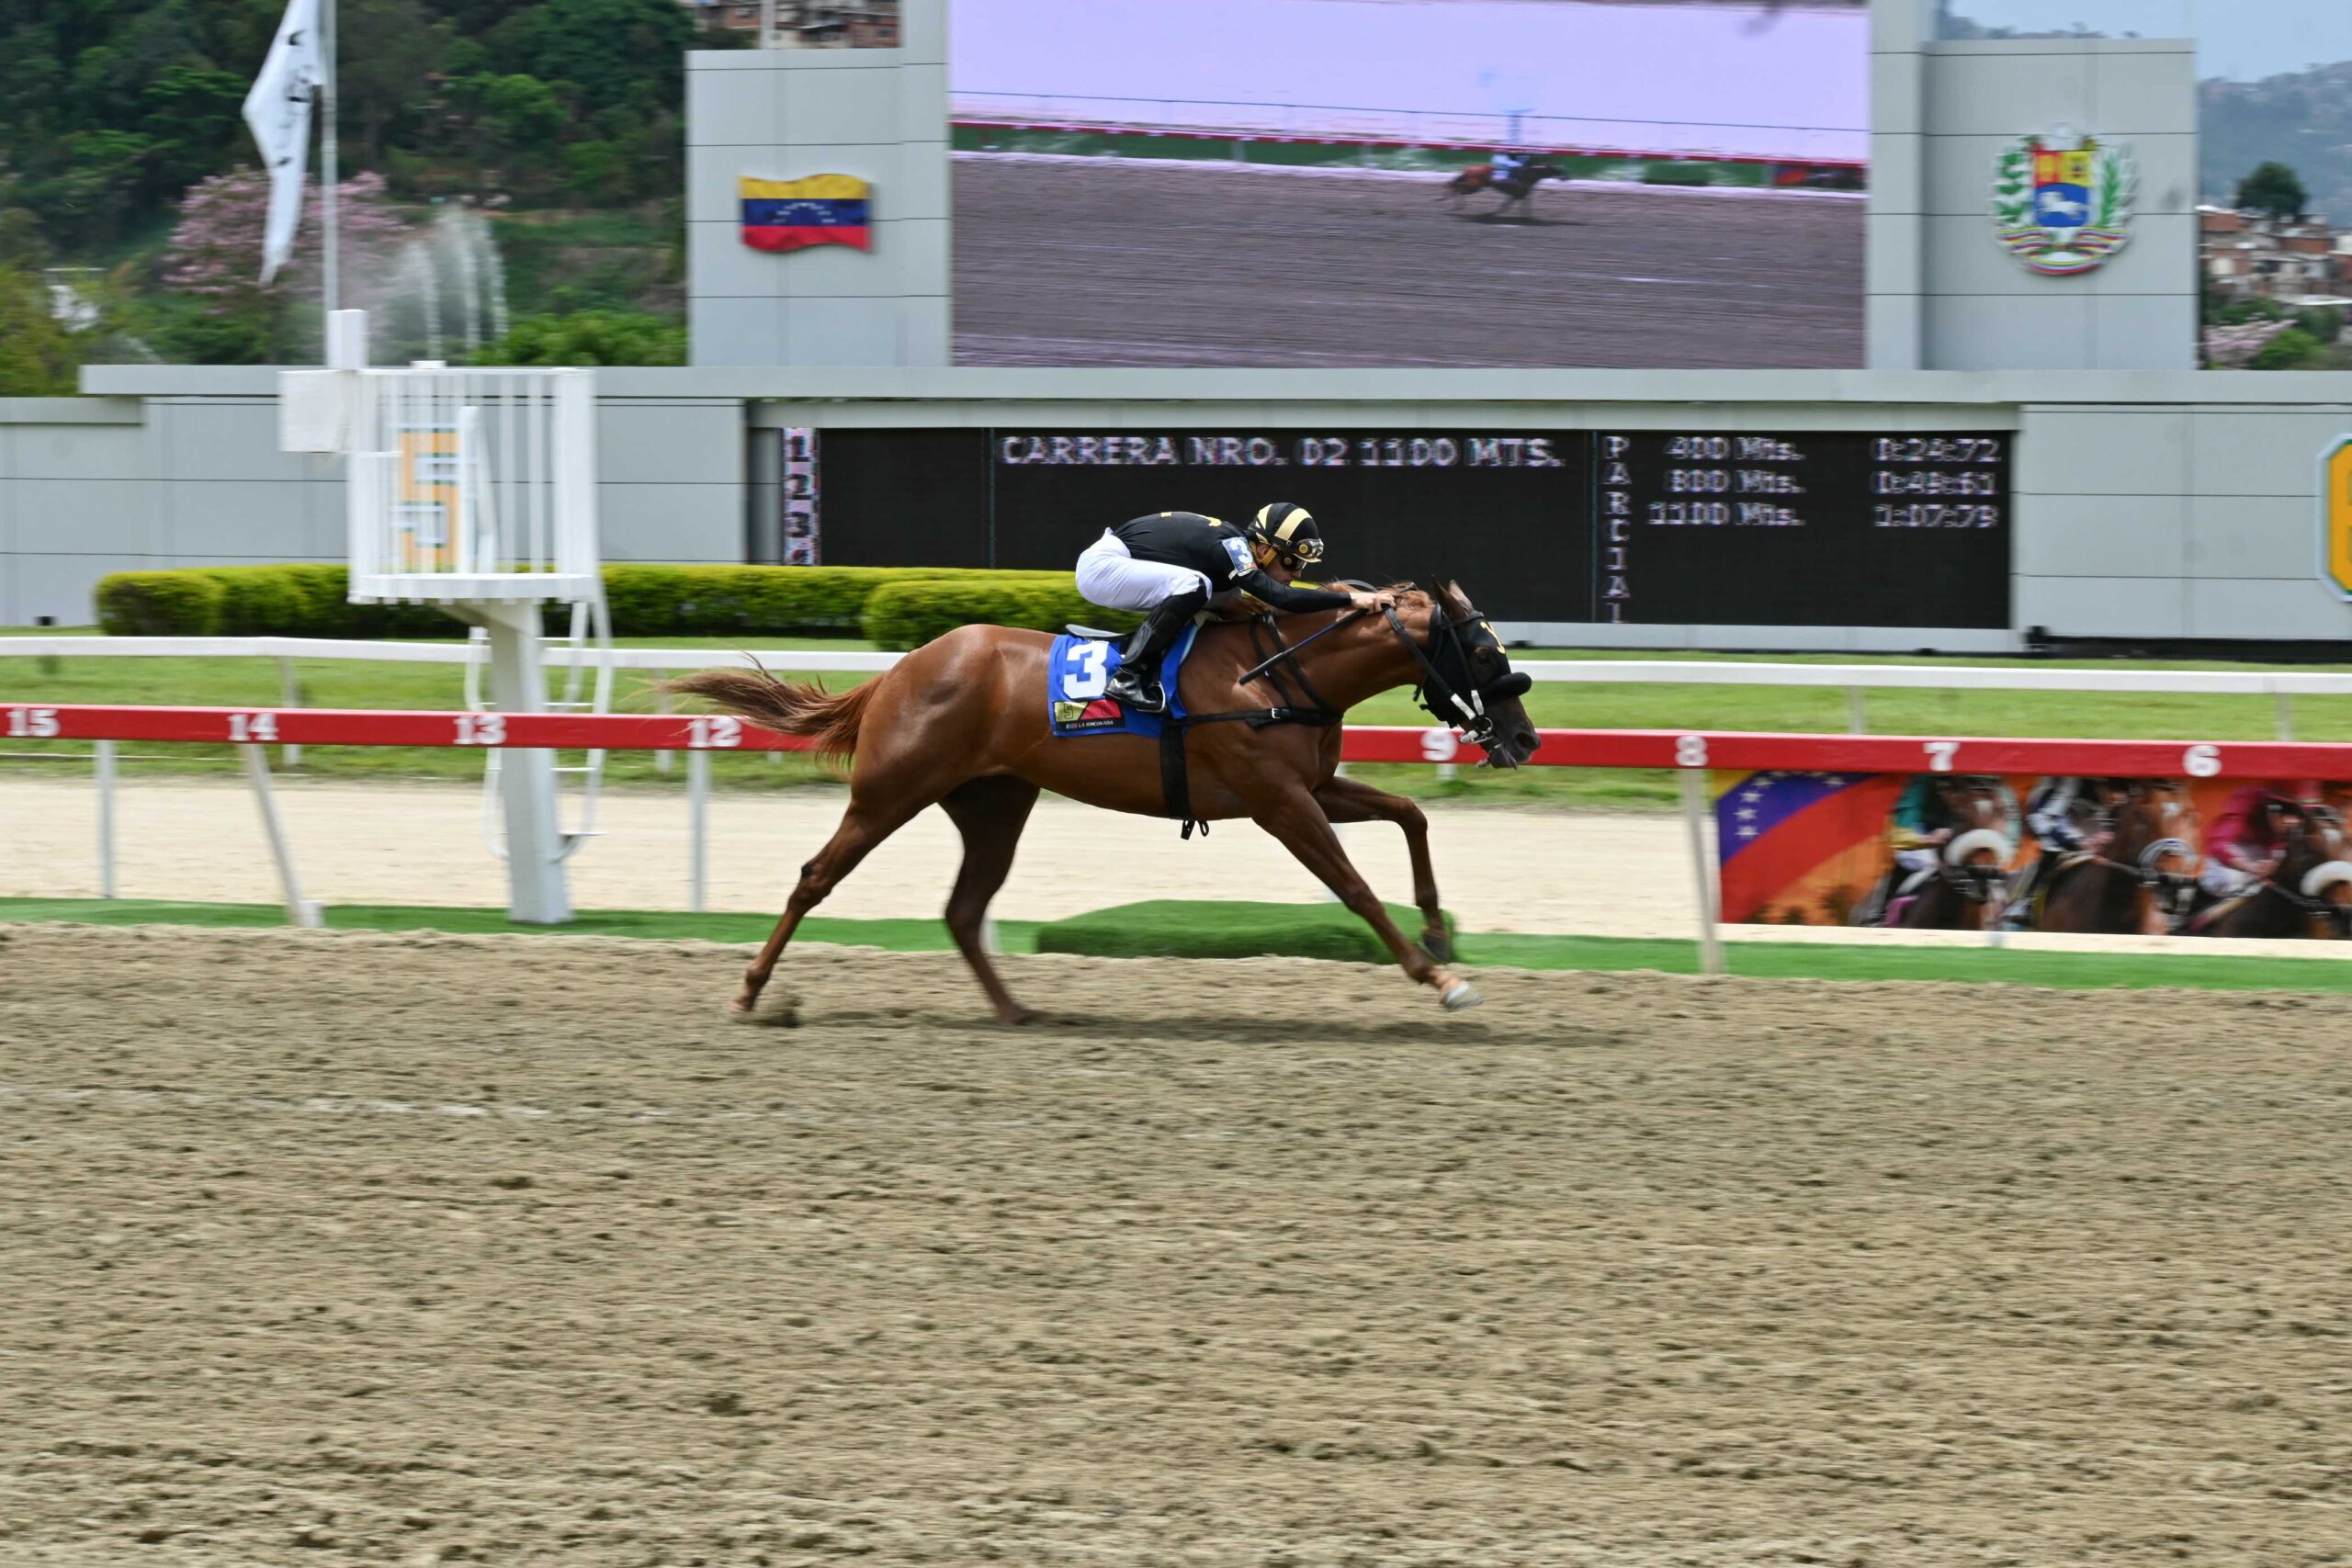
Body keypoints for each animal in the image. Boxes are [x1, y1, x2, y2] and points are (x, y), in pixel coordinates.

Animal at [666, 583, 1543, 1024]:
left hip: (994, 803)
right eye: (1482, 648)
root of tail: (899, 670)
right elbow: (1355, 887)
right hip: (892, 792)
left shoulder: (1314, 784)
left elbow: (1410, 814)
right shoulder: (1278, 800)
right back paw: (751, 991)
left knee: (962, 909)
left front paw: (1439, 929)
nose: (1526, 736)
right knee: (816, 877)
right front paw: (1440, 978)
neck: (1273, 673)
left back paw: (1018, 1009)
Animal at [1441, 162, 1565, 218]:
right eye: (1557, 170)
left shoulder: (1518, 194)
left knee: (1457, 186)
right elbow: (1508, 206)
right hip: (1474, 186)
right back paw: (1457, 204)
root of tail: (1469, 169)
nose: (1565, 177)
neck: (1526, 175)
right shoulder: (1517, 194)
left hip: (1474, 185)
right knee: (1459, 187)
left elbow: (1510, 206)